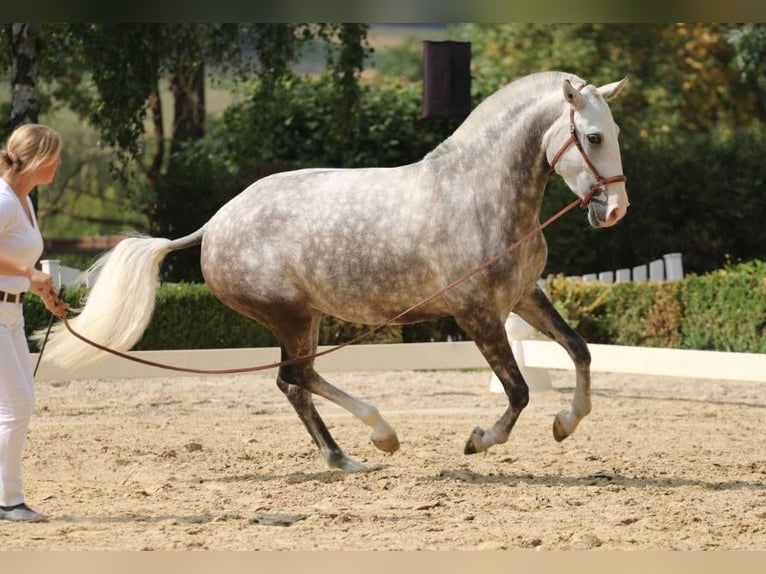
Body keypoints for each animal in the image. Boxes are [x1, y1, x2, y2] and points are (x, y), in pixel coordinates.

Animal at [42, 71, 632, 472]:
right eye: (594, 137)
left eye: (615, 132)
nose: (615, 212)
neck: (479, 194)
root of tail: (215, 223)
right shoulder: (477, 314)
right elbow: (517, 391)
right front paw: (479, 440)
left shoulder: (523, 296)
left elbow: (580, 350)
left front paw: (565, 424)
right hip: (291, 315)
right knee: (298, 378)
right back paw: (376, 438)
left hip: (304, 319)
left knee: (294, 381)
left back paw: (348, 452)